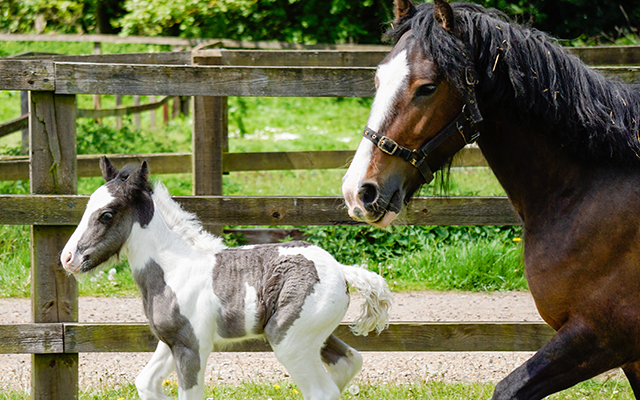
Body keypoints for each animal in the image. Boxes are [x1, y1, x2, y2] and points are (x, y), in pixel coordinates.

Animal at [60, 156, 391, 400]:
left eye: (107, 214)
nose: (68, 258)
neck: (174, 269)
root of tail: (340, 269)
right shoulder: (172, 342)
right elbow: (145, 383)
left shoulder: (192, 347)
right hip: (313, 336)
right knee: (349, 362)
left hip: (289, 341)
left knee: (322, 391)